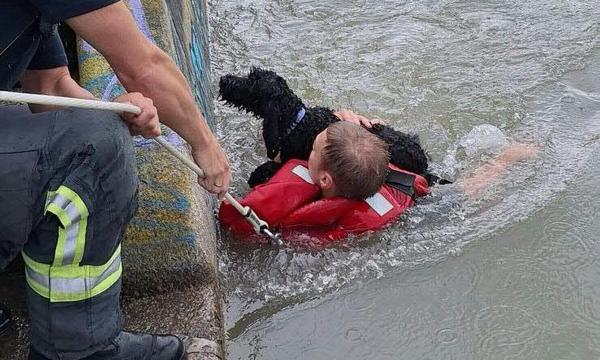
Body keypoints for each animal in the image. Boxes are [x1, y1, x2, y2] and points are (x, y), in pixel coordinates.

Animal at [218, 66, 438, 187]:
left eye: (252, 81)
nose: (223, 79)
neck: (298, 122)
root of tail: (423, 158)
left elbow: (269, 167)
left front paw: (256, 175)